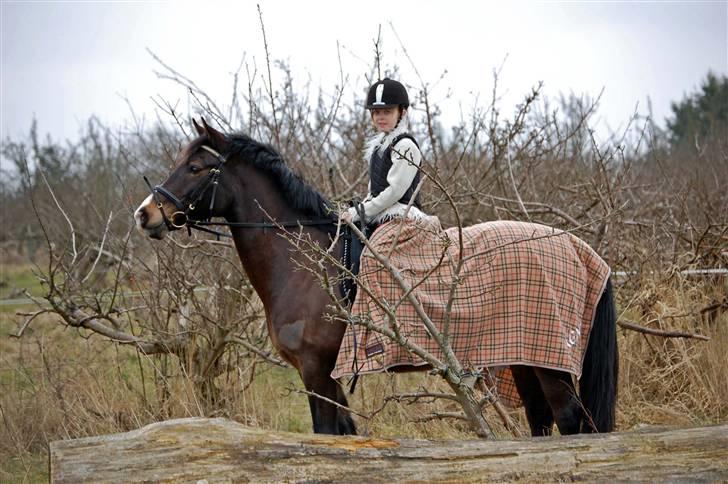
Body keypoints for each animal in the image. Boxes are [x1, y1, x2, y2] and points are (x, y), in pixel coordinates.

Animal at [134, 119, 616, 436]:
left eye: (197, 168)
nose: (145, 214)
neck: (309, 264)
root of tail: (577, 248)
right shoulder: (325, 375)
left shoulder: (316, 372)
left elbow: (327, 436)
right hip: (524, 357)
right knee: (542, 420)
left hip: (548, 362)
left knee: (571, 421)